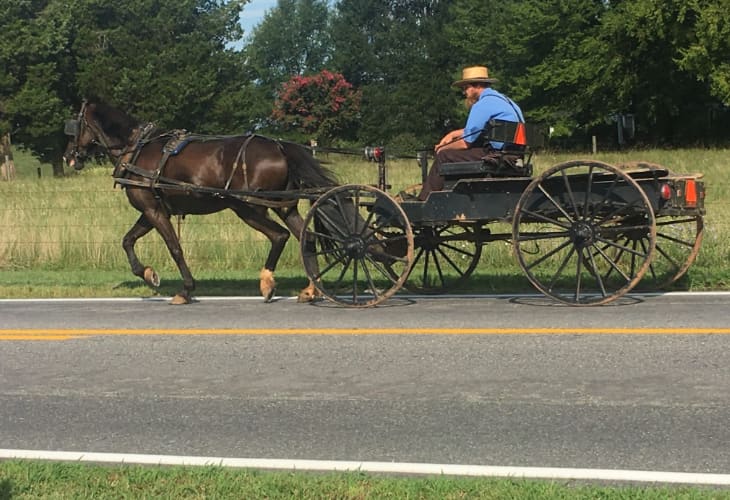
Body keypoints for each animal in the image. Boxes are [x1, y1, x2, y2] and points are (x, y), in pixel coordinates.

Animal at [61, 97, 336, 302]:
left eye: (74, 125)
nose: (68, 157)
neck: (136, 148)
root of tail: (280, 147)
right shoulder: (154, 209)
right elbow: (127, 240)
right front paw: (148, 274)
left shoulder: (152, 210)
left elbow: (174, 246)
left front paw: (186, 289)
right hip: (284, 207)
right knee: (307, 239)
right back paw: (311, 289)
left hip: (248, 207)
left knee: (280, 236)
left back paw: (268, 283)